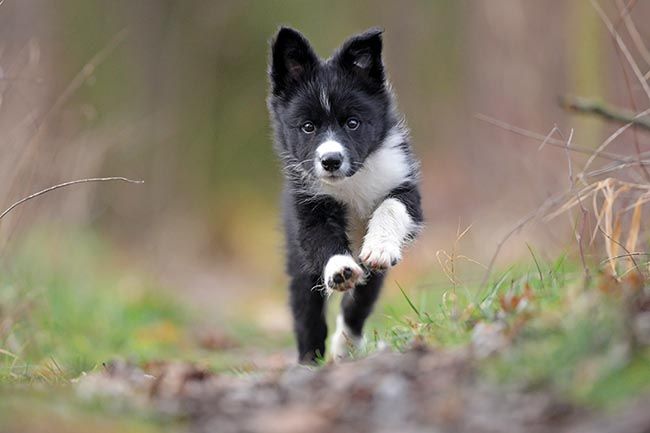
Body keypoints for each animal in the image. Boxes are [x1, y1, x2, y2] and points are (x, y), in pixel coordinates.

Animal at [268, 27, 422, 362]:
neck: (352, 181)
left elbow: (391, 207)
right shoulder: (308, 208)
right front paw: (339, 269)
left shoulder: (406, 187)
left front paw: (379, 246)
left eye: (353, 123)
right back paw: (309, 361)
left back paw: (345, 346)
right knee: (306, 312)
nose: (330, 161)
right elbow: (322, 239)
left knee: (359, 303)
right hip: (298, 263)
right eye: (308, 127)